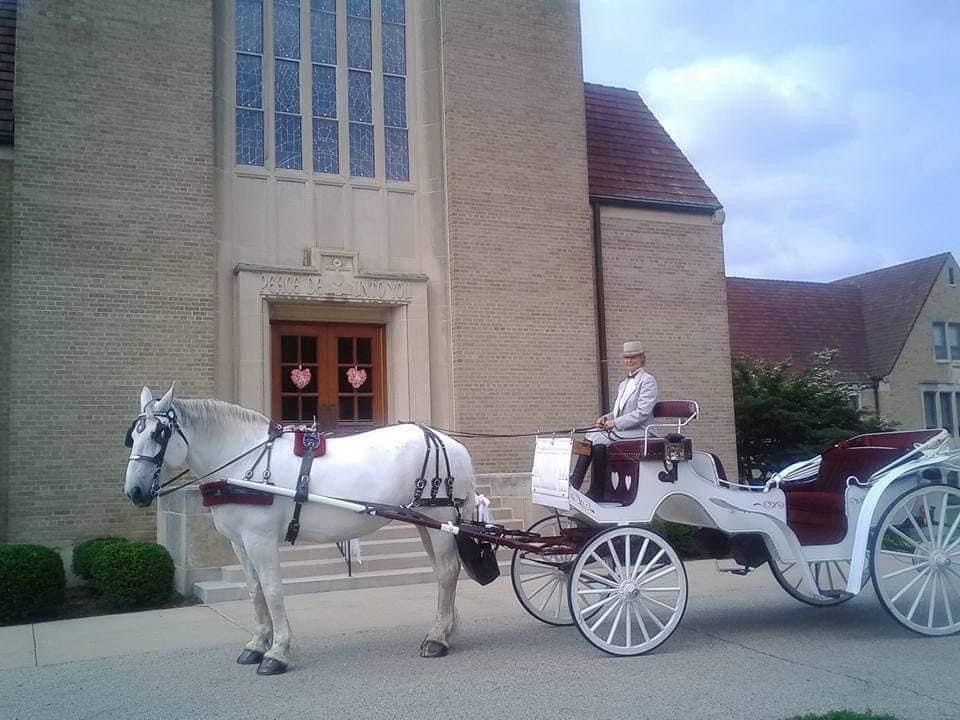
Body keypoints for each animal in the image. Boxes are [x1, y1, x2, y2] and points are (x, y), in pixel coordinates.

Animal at [124, 386, 476, 672]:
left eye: (159, 434)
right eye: (132, 435)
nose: (134, 491)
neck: (243, 462)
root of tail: (449, 442)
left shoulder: (261, 539)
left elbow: (273, 590)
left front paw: (276, 653)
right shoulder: (240, 542)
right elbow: (254, 591)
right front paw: (257, 645)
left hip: (439, 518)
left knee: (447, 572)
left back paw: (437, 639)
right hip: (425, 522)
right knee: (442, 572)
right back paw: (444, 629)